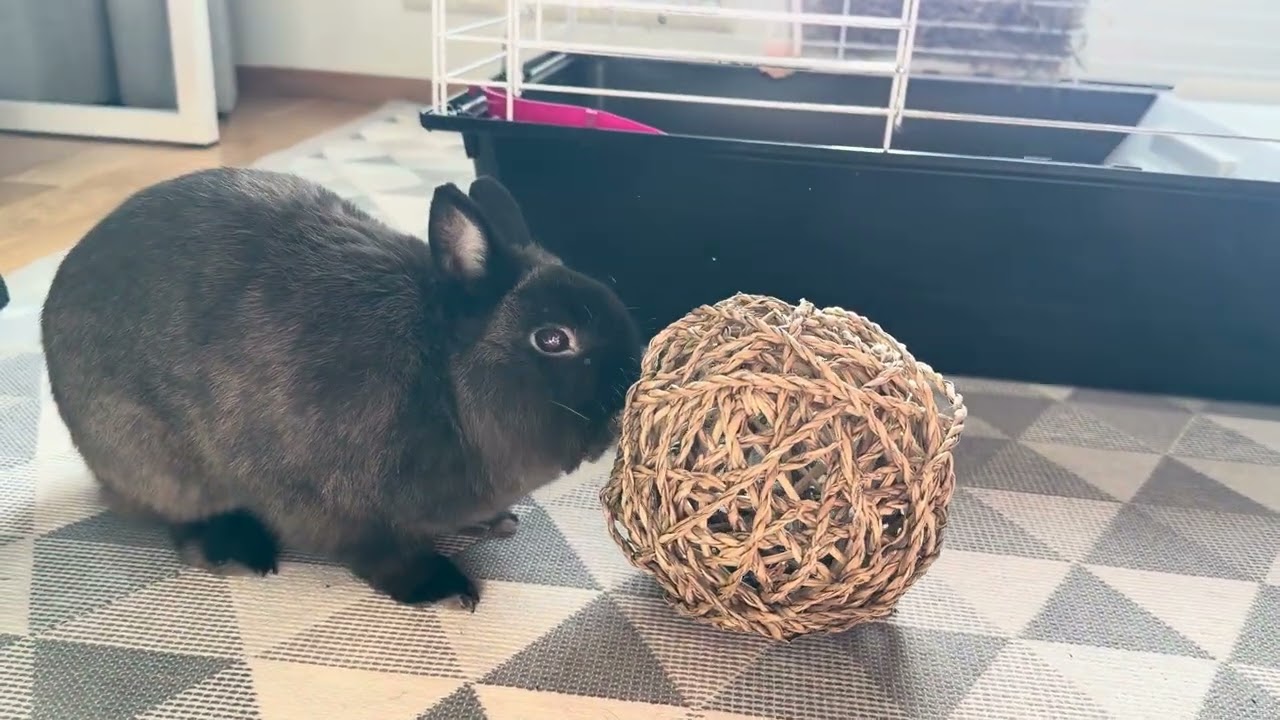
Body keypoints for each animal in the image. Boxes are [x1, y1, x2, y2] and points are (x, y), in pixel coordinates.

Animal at [40, 166, 643, 611]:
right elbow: (383, 555)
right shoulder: (333, 506)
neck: (442, 377)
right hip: (158, 458)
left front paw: (495, 521)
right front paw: (443, 588)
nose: (628, 386)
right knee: (180, 517)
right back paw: (235, 552)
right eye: (552, 339)